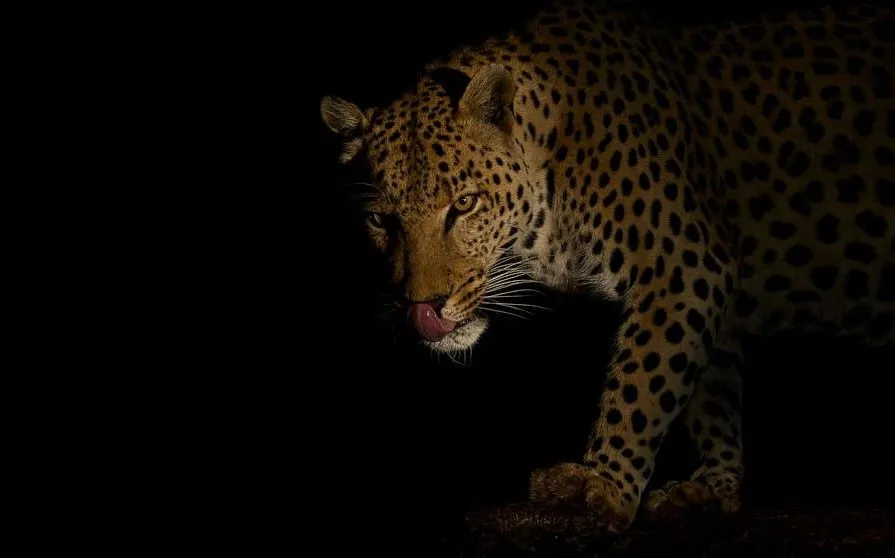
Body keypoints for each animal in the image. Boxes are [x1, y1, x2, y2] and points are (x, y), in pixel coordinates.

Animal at [319, 0, 895, 532]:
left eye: (464, 204)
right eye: (380, 219)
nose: (423, 306)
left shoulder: (684, 264)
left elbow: (643, 381)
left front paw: (603, 483)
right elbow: (712, 392)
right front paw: (713, 488)